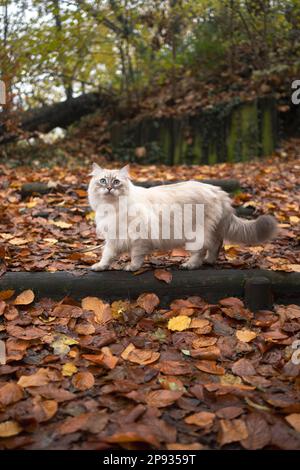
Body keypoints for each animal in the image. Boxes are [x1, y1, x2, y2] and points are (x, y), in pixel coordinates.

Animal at [88, 163, 278, 272]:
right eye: (103, 181)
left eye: (116, 182)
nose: (109, 188)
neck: (112, 208)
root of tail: (217, 191)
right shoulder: (113, 238)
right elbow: (107, 255)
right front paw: (100, 266)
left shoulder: (139, 239)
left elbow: (136, 256)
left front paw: (132, 267)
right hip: (212, 229)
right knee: (216, 245)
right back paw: (209, 261)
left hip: (196, 233)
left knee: (202, 249)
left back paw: (190, 265)